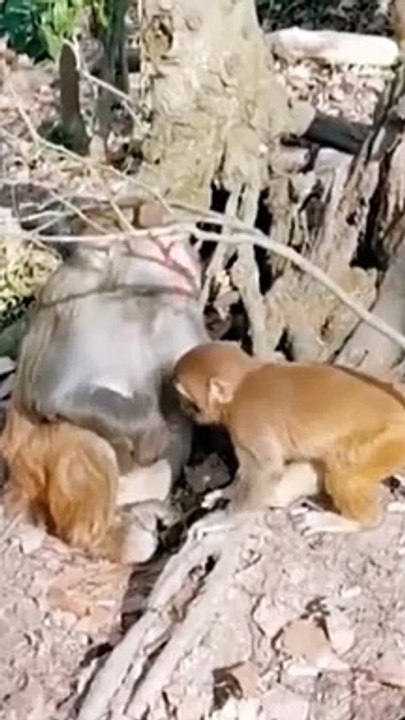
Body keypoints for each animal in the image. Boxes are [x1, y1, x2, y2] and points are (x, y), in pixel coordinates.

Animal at [1, 203, 209, 560]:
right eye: (163, 248)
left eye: (175, 242)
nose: (189, 264)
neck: (130, 299)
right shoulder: (77, 309)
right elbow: (55, 395)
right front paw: (149, 432)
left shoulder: (177, 312)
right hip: (32, 469)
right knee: (81, 436)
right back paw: (103, 538)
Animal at [172, 341, 405, 535]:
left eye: (188, 400)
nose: (183, 408)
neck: (245, 382)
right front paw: (227, 492)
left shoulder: (246, 423)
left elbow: (266, 472)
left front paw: (225, 519)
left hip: (385, 439)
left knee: (344, 472)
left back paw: (357, 522)